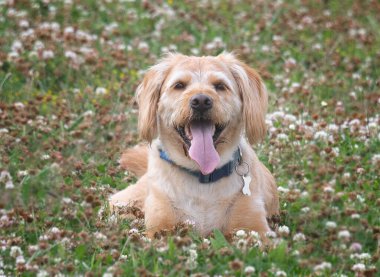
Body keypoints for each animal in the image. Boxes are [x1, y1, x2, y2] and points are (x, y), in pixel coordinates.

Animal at [108, 52, 278, 237]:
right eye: (179, 85)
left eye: (220, 86)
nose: (201, 101)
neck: (202, 176)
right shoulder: (159, 226)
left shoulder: (255, 228)